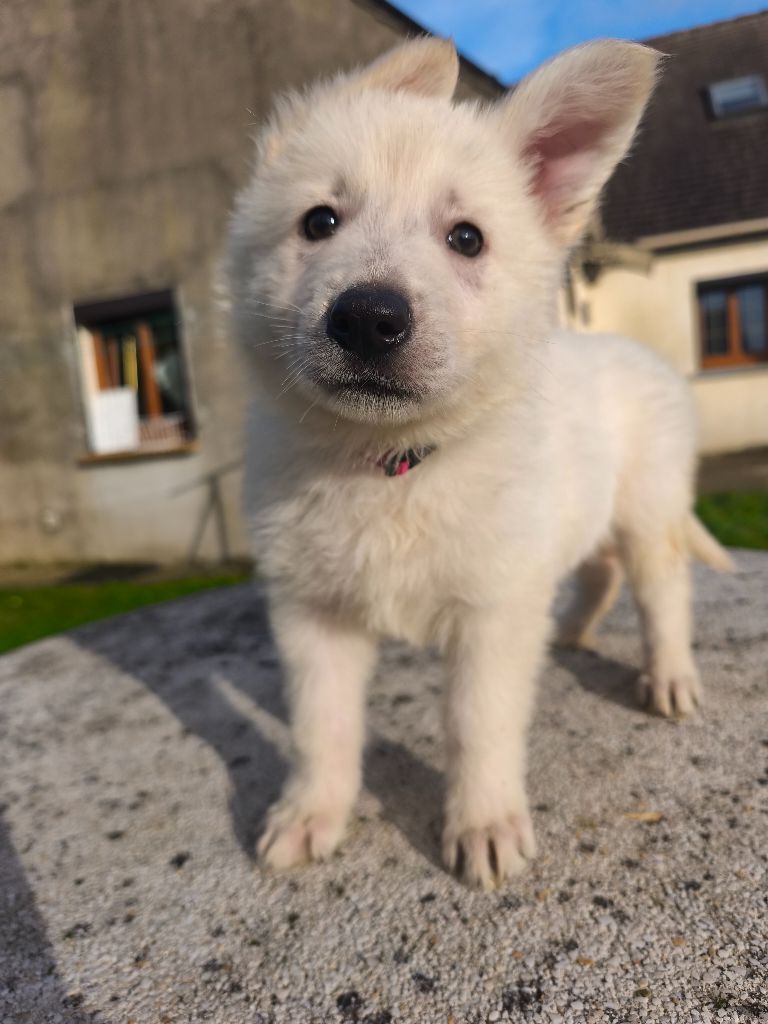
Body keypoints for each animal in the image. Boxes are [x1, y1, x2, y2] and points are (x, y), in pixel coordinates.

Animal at [224, 37, 733, 888]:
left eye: (466, 238)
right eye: (319, 222)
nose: (368, 318)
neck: (392, 465)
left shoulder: (492, 611)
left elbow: (477, 723)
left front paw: (484, 824)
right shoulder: (310, 610)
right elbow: (321, 724)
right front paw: (309, 814)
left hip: (648, 510)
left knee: (662, 590)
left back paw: (668, 677)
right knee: (599, 572)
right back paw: (570, 633)